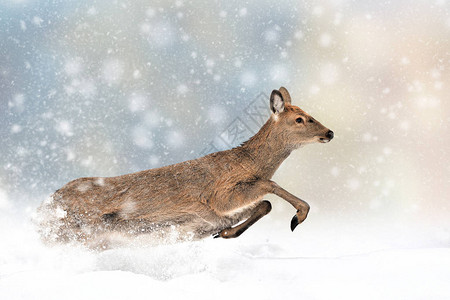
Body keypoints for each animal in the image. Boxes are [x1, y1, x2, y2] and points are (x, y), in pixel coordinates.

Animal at [37, 87, 334, 248]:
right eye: (299, 119)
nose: (329, 132)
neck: (247, 163)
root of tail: (45, 205)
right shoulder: (219, 195)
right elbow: (269, 187)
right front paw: (299, 216)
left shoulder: (223, 211)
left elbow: (264, 204)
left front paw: (224, 233)